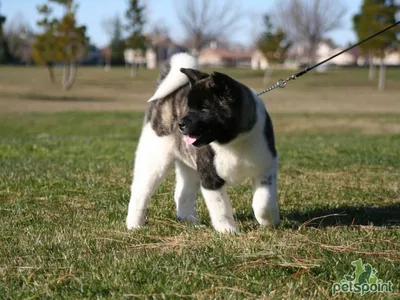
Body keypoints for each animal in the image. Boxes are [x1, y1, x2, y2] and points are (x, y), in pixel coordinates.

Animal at [126, 52, 280, 233]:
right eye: (188, 107)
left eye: (204, 109)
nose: (180, 123)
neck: (232, 142)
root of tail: (165, 97)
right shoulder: (210, 178)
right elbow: (221, 208)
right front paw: (228, 231)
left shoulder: (265, 169)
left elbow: (264, 202)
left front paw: (269, 222)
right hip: (154, 161)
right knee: (140, 192)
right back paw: (134, 225)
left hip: (190, 167)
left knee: (182, 193)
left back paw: (190, 221)